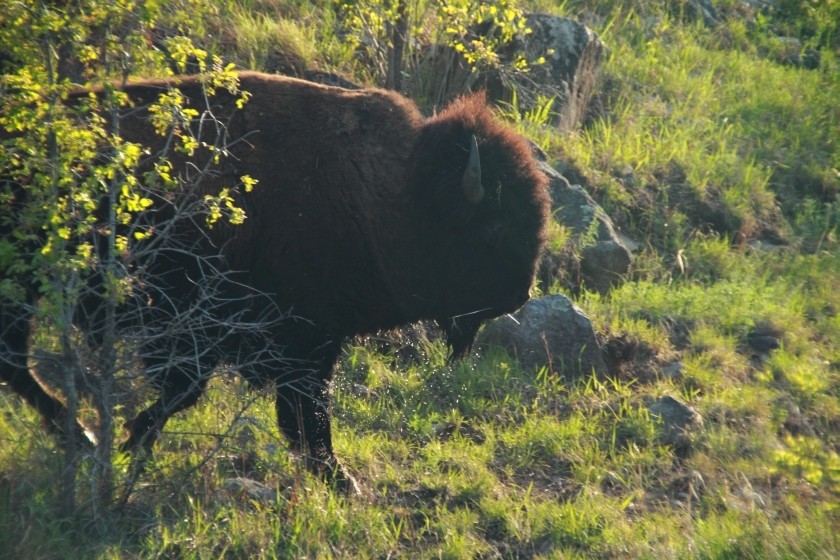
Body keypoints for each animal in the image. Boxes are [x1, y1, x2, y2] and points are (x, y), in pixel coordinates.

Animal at [3, 71, 552, 490]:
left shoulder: (305, 345)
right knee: (16, 360)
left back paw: (79, 436)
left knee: (15, 362)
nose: (519, 295)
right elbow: (291, 414)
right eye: (495, 226)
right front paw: (345, 482)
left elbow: (289, 415)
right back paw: (81, 436)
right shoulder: (286, 342)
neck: (393, 195)